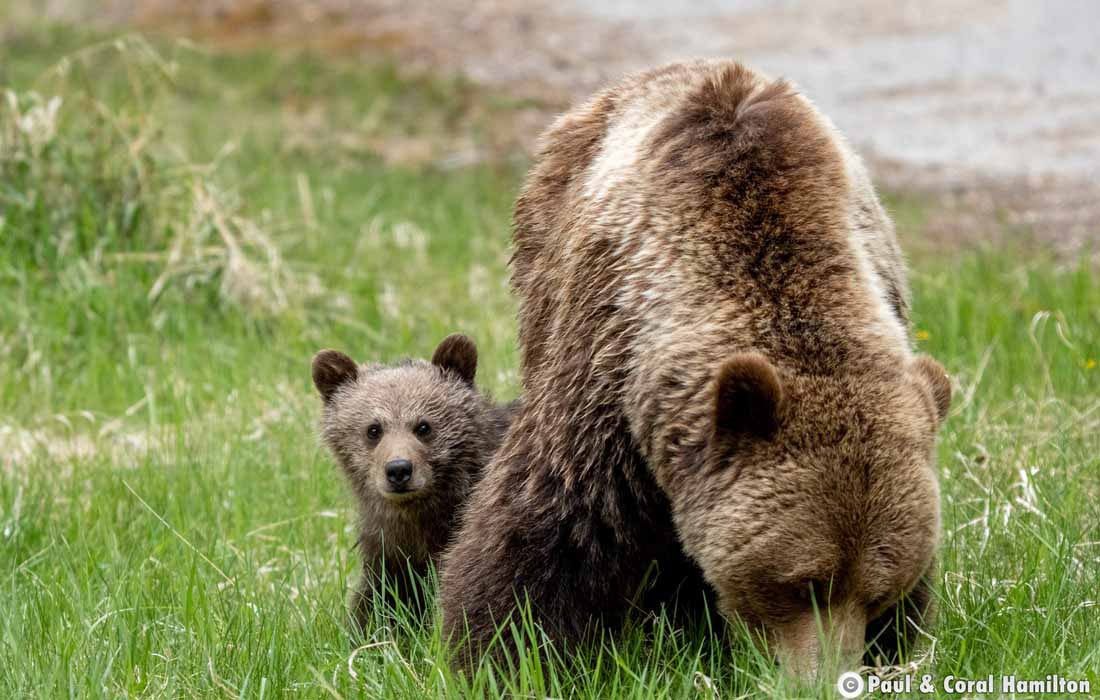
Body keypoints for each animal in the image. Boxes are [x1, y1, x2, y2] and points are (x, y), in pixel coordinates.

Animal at [442, 61, 950, 677]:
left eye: (877, 594)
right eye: (802, 584)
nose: (826, 677)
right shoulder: (606, 365)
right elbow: (553, 519)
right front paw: (508, 649)